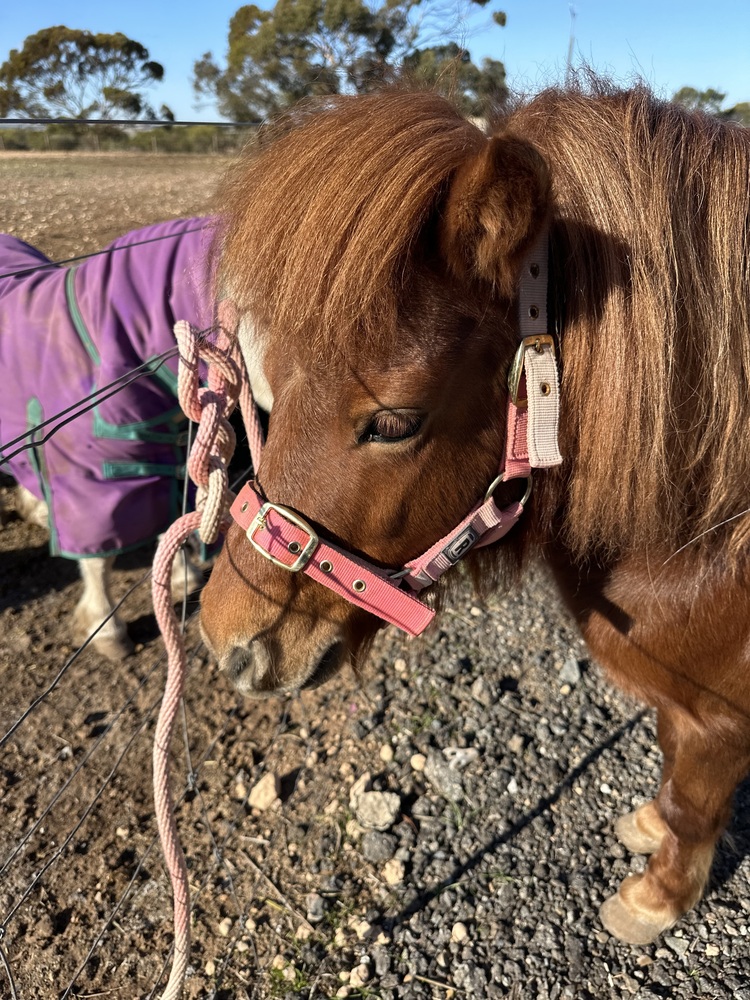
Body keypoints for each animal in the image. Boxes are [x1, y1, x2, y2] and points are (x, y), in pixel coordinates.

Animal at [0, 218, 220, 659]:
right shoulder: (90, 479)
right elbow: (99, 559)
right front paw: (105, 629)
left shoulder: (163, 458)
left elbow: (167, 518)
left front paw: (180, 577)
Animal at [199, 83, 750, 946]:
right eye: (271, 383)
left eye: (394, 422)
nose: (226, 642)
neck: (705, 533)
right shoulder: (686, 707)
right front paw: (649, 831)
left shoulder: (721, 722)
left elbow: (694, 801)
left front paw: (657, 897)